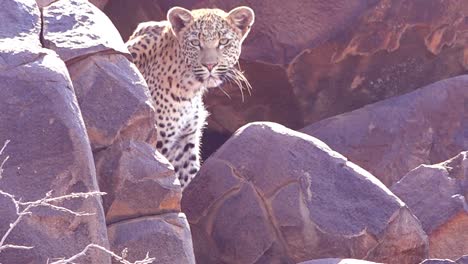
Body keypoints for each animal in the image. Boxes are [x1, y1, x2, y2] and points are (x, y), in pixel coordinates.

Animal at [126, 5, 254, 188]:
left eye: (223, 42)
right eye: (195, 43)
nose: (210, 65)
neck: (190, 89)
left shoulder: (184, 141)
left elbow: (189, 178)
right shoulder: (158, 142)